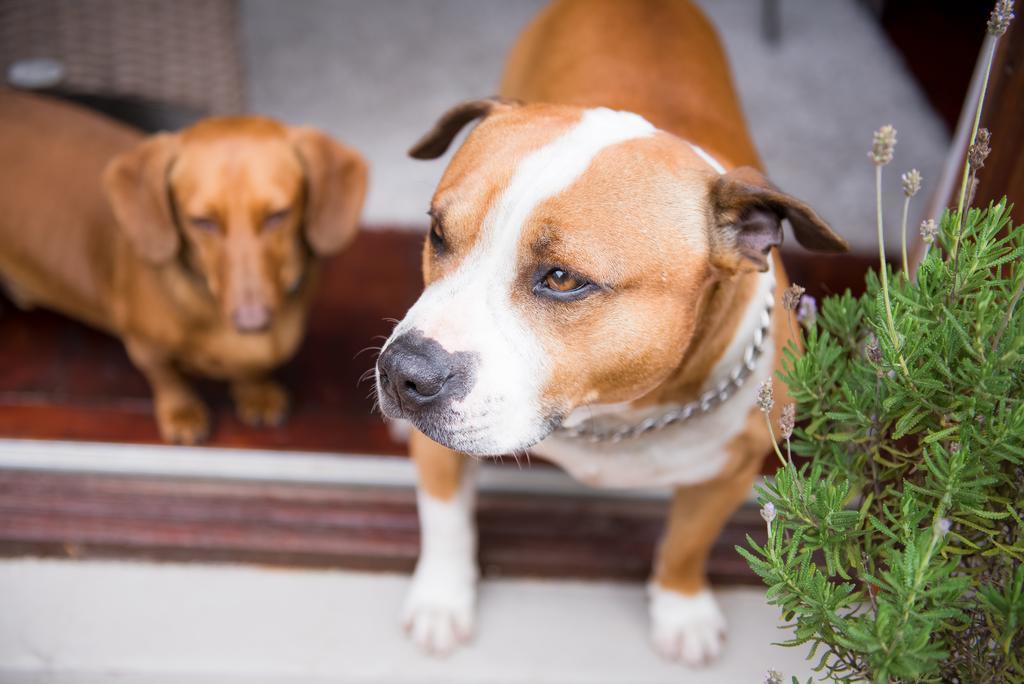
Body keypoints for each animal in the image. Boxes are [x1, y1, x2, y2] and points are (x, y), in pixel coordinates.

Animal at [376, 0, 847, 663]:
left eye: (562, 279)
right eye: (437, 234)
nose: (402, 372)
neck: (613, 418)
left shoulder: (728, 476)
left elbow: (687, 543)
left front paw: (682, 608)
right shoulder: (442, 453)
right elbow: (445, 519)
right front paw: (442, 601)